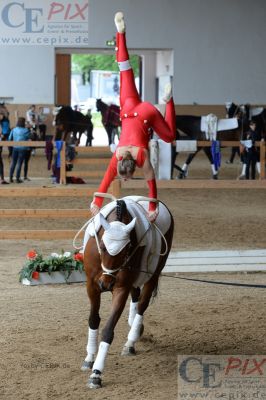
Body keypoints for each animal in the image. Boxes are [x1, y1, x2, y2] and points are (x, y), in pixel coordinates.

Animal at [81, 195, 175, 390]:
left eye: (127, 248)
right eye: (102, 245)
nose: (106, 284)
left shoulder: (121, 288)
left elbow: (108, 330)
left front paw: (96, 373)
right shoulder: (91, 285)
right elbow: (93, 319)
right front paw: (89, 358)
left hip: (154, 272)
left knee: (142, 304)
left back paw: (131, 341)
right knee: (136, 294)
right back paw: (134, 326)